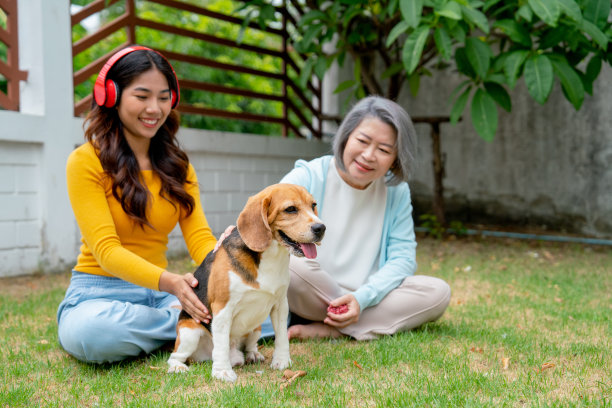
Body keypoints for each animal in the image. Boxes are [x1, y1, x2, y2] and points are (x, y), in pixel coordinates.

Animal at [163, 185, 326, 382]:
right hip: (189, 333)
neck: (271, 256)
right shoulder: (222, 308)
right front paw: (222, 371)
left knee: (249, 345)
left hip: (256, 328)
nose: (321, 228)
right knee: (176, 356)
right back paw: (178, 367)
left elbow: (282, 337)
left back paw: (252, 354)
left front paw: (282, 361)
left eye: (313, 205)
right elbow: (221, 345)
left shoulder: (281, 305)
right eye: (290, 209)